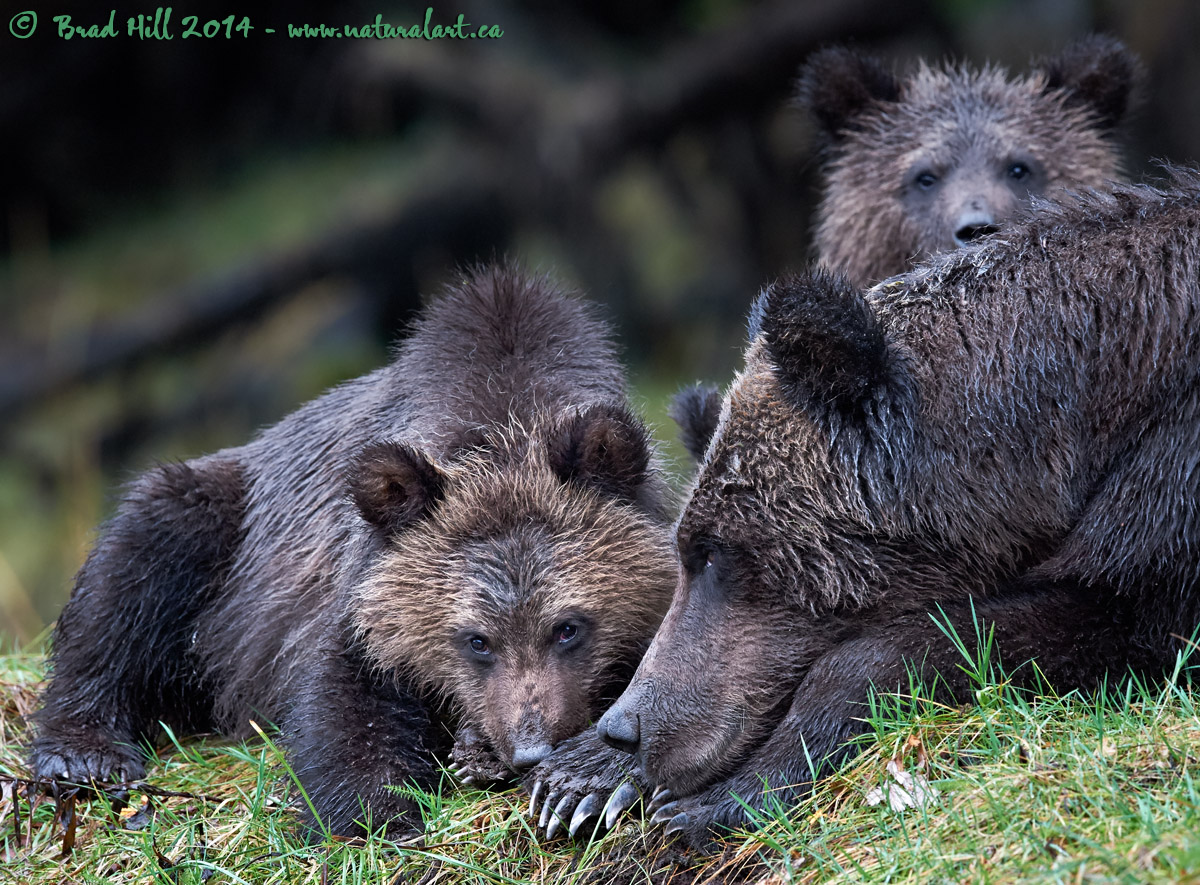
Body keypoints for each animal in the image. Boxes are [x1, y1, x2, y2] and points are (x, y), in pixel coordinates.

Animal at [28, 264, 677, 838]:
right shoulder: (356, 591)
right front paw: (375, 814)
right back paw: (84, 753)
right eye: (476, 640)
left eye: (568, 627)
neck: (503, 409)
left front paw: (579, 782)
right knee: (133, 572)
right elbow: (346, 705)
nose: (528, 748)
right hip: (220, 532)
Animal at [523, 168, 1200, 845]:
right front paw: (581, 780)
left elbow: (1093, 619)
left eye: (713, 552)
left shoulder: (1167, 501)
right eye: (690, 550)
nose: (625, 730)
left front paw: (714, 800)